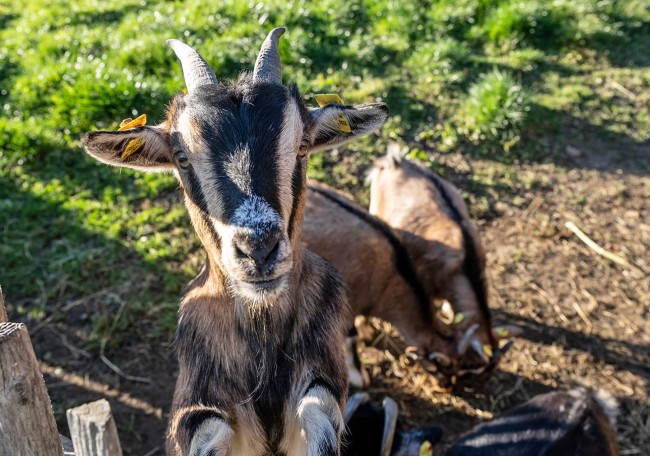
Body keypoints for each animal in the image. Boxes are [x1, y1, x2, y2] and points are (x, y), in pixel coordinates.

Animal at [82, 28, 388, 456]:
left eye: (302, 145)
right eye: (181, 158)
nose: (258, 249)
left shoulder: (322, 367)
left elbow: (319, 408)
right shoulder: (196, 397)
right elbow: (206, 427)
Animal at [302, 182, 456, 385]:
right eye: (441, 367)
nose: (447, 386)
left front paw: (367, 332)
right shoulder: (348, 306)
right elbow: (351, 338)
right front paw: (359, 377)